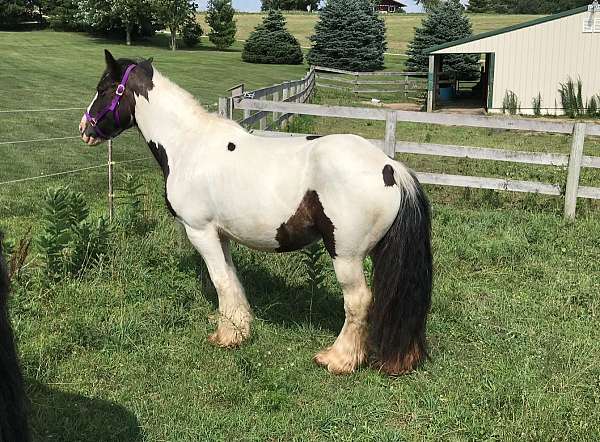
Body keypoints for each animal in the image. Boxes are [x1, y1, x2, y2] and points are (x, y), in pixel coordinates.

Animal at [78, 51, 432, 376]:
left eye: (103, 88)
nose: (85, 128)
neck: (188, 145)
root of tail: (390, 167)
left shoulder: (200, 231)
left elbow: (220, 280)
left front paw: (226, 336)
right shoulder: (221, 234)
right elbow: (232, 279)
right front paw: (238, 327)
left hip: (346, 255)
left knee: (358, 301)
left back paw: (338, 360)